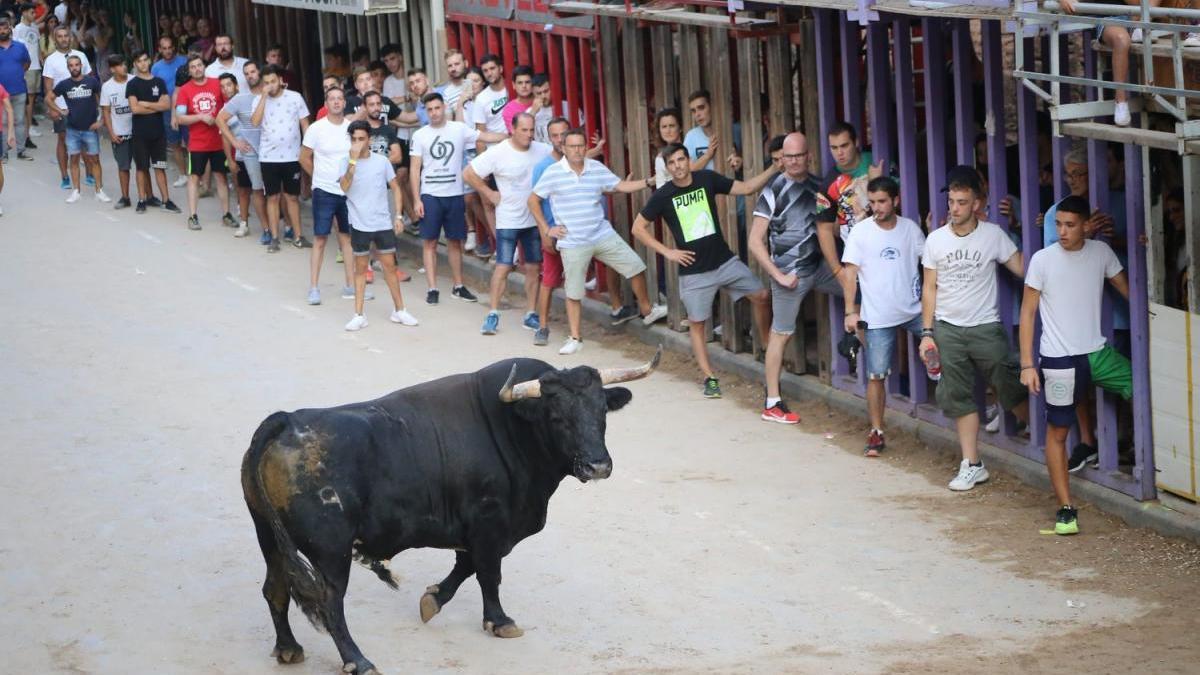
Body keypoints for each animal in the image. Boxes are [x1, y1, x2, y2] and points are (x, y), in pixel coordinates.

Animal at [240, 348, 662, 667]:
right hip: (331, 550)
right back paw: (358, 661)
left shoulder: (475, 531)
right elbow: (488, 574)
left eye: (602, 412)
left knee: (275, 588)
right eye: (556, 416)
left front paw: (432, 600)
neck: (513, 426)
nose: (598, 466)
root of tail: (286, 421)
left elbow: (466, 567)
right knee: (329, 603)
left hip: (269, 538)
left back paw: (289, 649)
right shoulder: (490, 524)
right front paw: (499, 621)